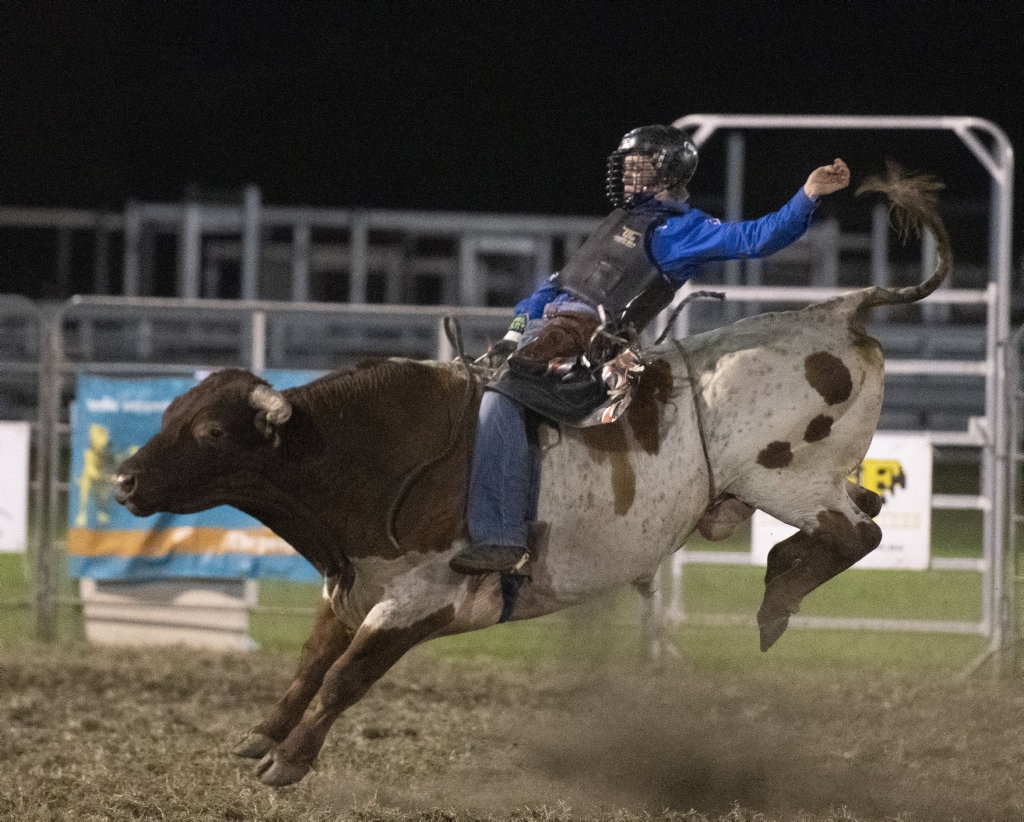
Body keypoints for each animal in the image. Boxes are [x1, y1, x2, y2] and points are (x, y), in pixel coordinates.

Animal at [114, 165, 950, 786]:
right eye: (170, 412)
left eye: (211, 432)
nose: (123, 480)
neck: (374, 454)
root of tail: (841, 310)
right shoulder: (353, 584)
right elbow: (311, 664)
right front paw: (261, 739)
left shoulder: (419, 599)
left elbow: (349, 675)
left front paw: (288, 762)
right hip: (800, 480)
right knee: (865, 511)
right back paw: (784, 585)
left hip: (790, 477)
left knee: (859, 531)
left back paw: (778, 592)